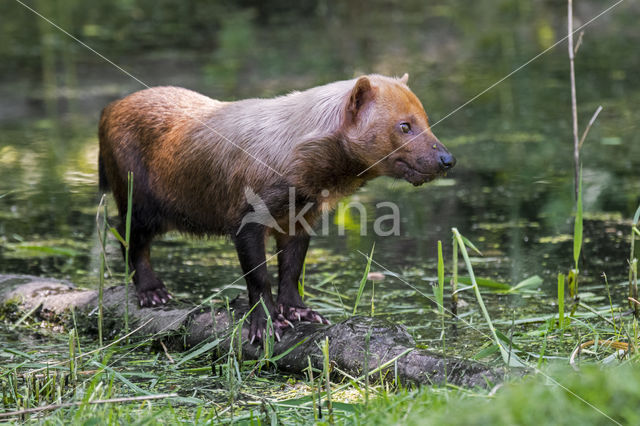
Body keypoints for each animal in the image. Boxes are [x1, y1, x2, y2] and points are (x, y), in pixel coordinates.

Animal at [97, 74, 456, 342]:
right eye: (404, 126)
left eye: (427, 120)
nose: (447, 159)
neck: (292, 160)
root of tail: (109, 108)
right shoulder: (247, 219)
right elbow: (258, 277)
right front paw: (266, 326)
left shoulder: (299, 220)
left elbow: (292, 269)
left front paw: (301, 312)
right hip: (140, 201)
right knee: (126, 235)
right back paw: (152, 292)